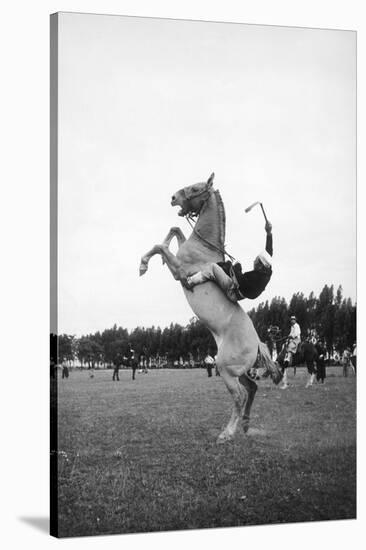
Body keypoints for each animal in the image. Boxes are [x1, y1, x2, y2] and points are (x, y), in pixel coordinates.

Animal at [139, 172, 282, 444]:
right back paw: (244, 425)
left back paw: (227, 433)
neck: (204, 249)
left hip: (225, 368)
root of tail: (258, 343)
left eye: (196, 188)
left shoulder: (179, 270)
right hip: (238, 371)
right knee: (252, 388)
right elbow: (174, 230)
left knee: (239, 395)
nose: (173, 197)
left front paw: (143, 265)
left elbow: (160, 247)